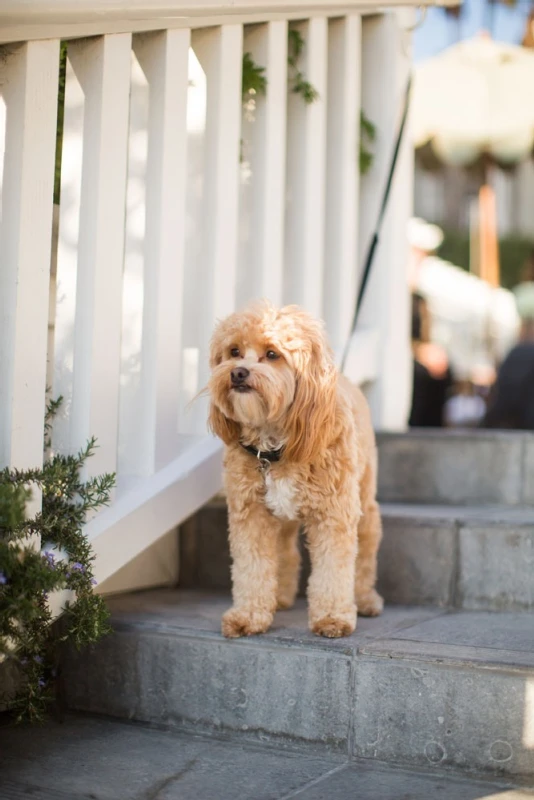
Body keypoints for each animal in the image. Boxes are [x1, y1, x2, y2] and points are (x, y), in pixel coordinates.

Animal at [208, 300, 386, 636]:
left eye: (272, 354)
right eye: (234, 351)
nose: (238, 373)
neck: (274, 447)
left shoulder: (334, 513)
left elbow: (333, 569)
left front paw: (332, 618)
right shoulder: (251, 514)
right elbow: (252, 567)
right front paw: (249, 615)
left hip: (364, 500)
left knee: (366, 551)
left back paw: (366, 598)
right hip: (282, 518)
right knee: (285, 552)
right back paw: (280, 596)